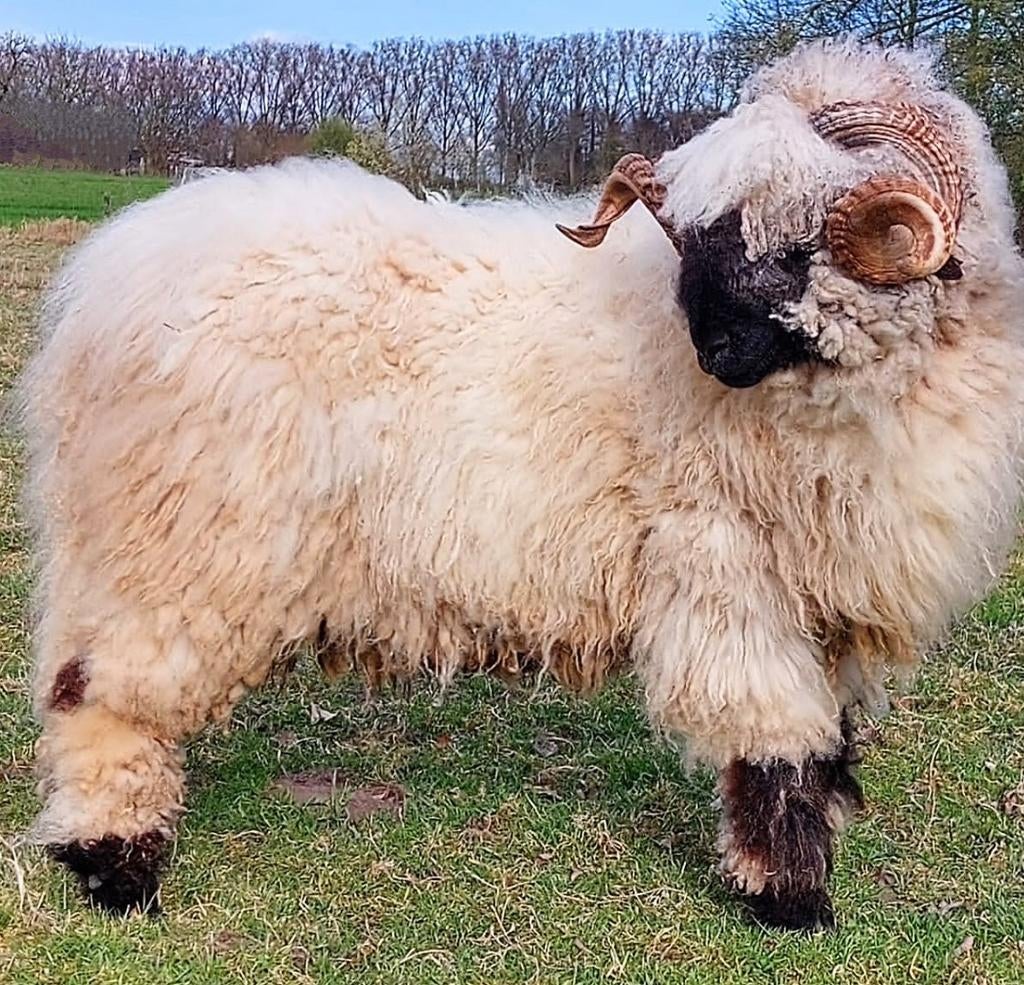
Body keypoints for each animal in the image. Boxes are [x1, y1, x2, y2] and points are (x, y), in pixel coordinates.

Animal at [18, 38, 1024, 930]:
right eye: (703, 238)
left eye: (801, 246)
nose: (713, 351)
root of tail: (109, 279)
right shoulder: (727, 571)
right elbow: (774, 740)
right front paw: (790, 899)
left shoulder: (829, 593)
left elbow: (830, 739)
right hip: (188, 542)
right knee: (103, 696)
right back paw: (117, 870)